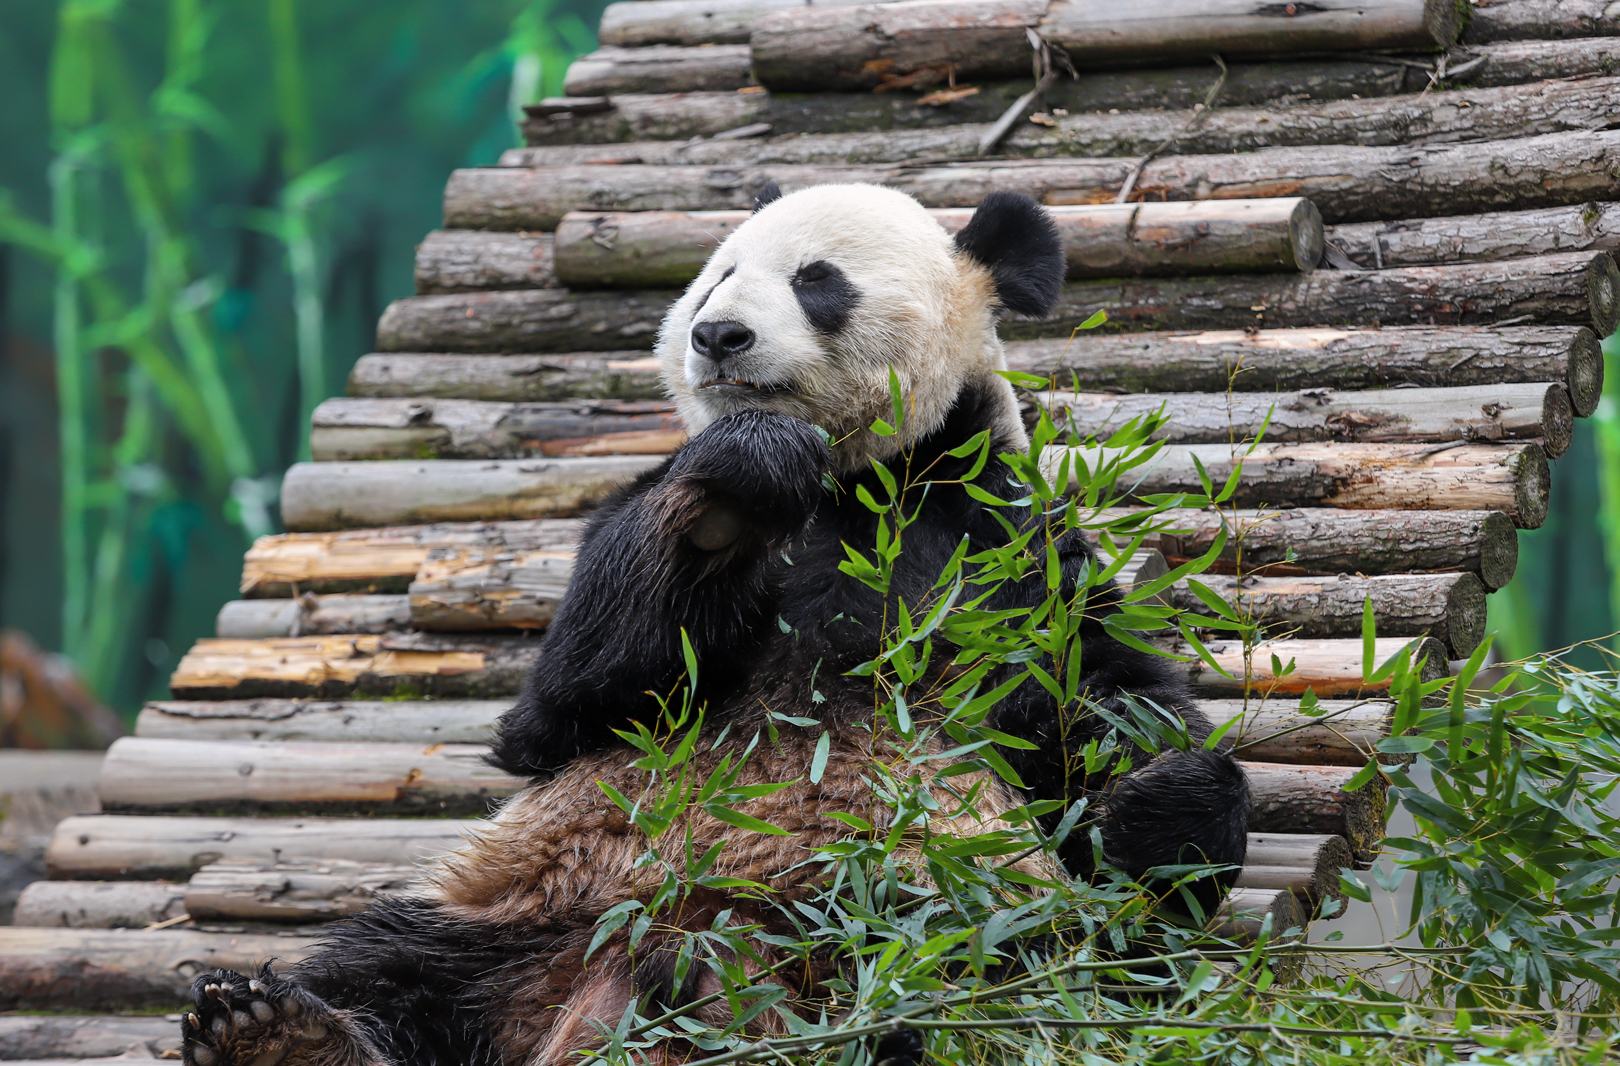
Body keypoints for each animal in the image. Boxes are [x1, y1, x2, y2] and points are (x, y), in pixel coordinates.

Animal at [180, 183, 1251, 1066]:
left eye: (818, 282)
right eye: (715, 279)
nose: (719, 336)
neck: (853, 479)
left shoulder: (1002, 547)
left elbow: (1100, 710)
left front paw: (1165, 792)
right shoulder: (631, 546)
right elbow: (567, 708)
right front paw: (737, 485)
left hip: (943, 932)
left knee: (1012, 983)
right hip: (530, 903)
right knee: (391, 970)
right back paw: (277, 1034)